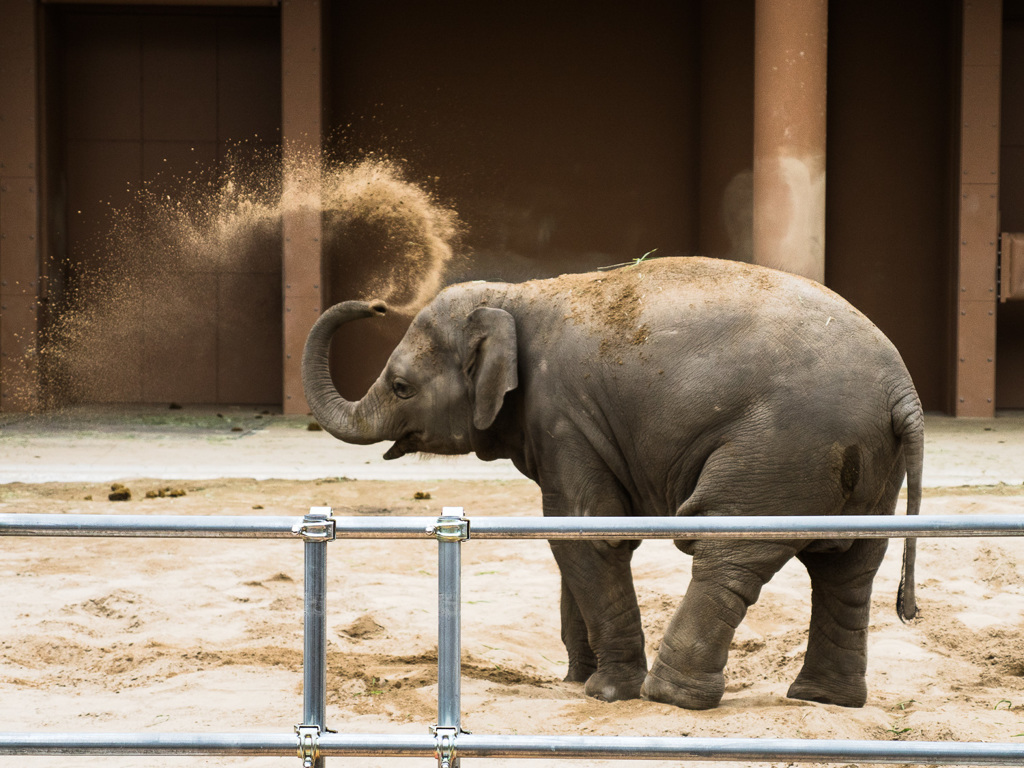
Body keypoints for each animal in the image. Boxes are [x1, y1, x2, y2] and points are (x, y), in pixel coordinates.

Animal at [299, 257, 925, 708]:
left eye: (401, 387)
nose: (378, 302)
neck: (516, 295)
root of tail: (903, 392)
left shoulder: (564, 417)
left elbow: (588, 535)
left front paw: (605, 692)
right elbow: (571, 539)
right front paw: (577, 681)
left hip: (781, 450)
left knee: (727, 553)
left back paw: (670, 697)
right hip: (862, 468)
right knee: (849, 568)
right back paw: (824, 701)